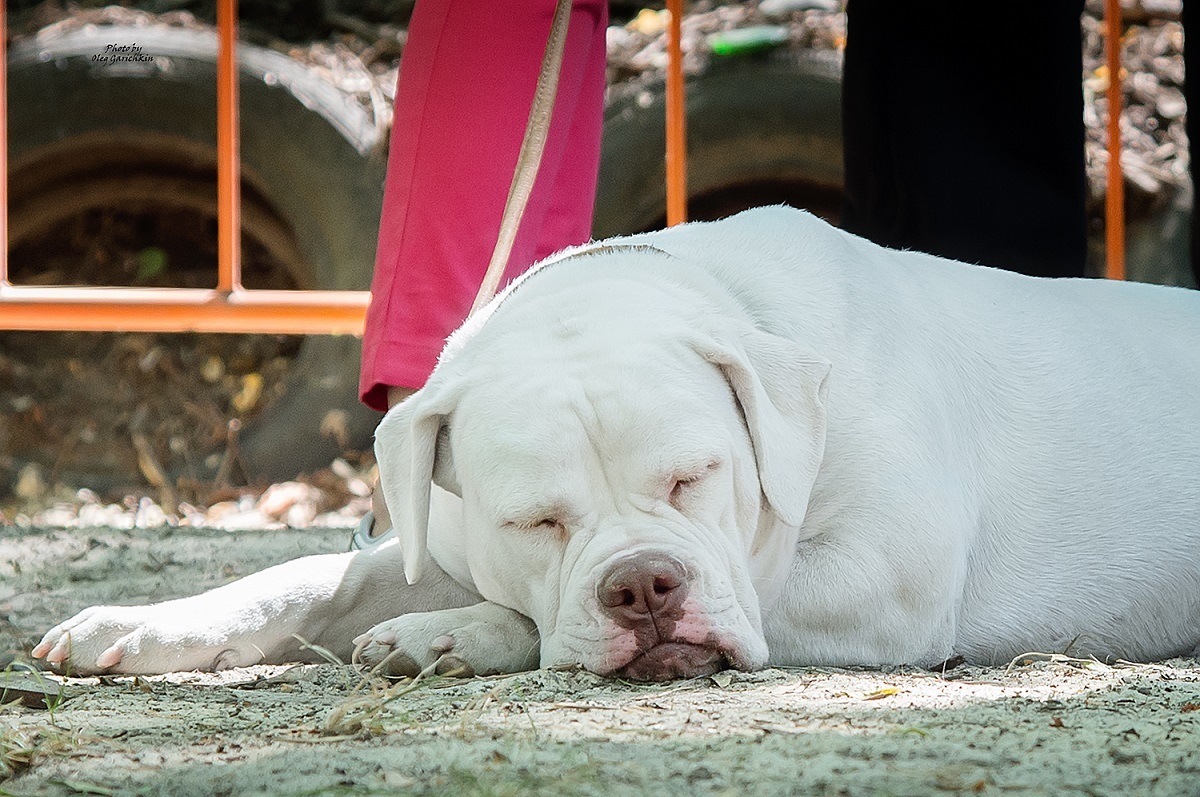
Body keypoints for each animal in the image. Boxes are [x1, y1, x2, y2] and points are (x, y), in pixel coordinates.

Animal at [32, 205, 1200, 676]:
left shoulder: (884, 577)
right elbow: (308, 580)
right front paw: (141, 622)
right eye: (536, 520)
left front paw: (451, 634)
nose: (642, 584)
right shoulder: (441, 537)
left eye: (695, 477)